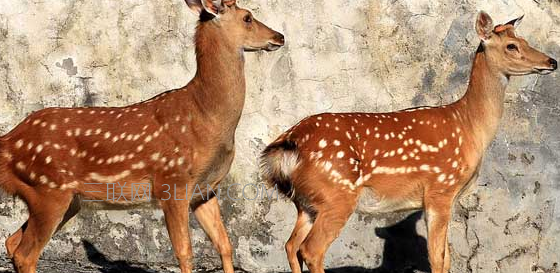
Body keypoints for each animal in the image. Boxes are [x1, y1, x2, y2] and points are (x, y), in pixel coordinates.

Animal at [0, 0, 284, 272]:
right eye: (248, 17)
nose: (279, 36)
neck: (206, 117)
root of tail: (9, 142)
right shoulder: (172, 182)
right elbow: (184, 252)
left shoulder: (204, 190)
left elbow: (225, 244)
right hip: (48, 189)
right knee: (26, 254)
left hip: (66, 199)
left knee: (12, 242)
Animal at [262, 11, 556, 272]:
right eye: (511, 46)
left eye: (525, 40)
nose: (552, 61)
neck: (469, 125)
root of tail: (287, 145)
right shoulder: (440, 188)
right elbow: (437, 258)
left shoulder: (444, 198)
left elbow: (446, 258)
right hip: (337, 194)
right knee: (311, 250)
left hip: (306, 203)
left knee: (290, 245)